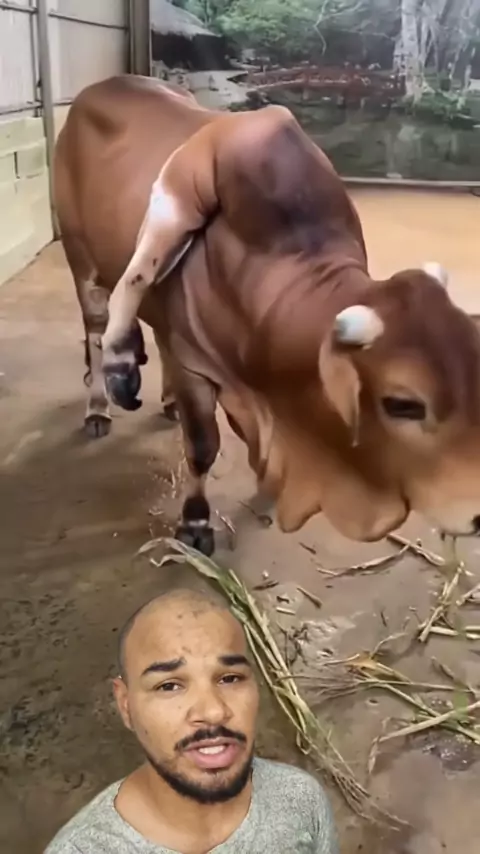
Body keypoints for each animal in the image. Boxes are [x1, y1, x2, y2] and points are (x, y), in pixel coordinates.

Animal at [56, 75, 480, 558]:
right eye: (403, 403)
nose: (477, 514)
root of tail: (103, 86)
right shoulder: (193, 365)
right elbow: (203, 446)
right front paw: (195, 522)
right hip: (81, 259)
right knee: (98, 326)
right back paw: (105, 392)